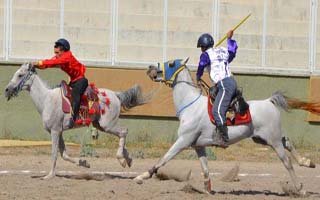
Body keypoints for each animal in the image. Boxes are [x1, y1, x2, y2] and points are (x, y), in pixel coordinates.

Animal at [4, 63, 149, 180]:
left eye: (20, 75)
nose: (7, 90)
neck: (46, 99)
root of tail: (115, 95)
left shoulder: (55, 131)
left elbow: (54, 154)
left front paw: (49, 175)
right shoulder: (59, 131)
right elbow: (64, 154)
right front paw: (84, 163)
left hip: (108, 125)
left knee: (124, 131)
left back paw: (122, 159)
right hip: (100, 125)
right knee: (122, 134)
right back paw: (128, 159)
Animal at [134, 57, 318, 195]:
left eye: (171, 63)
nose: (150, 68)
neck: (190, 105)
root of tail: (268, 101)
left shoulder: (183, 141)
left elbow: (164, 158)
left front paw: (142, 176)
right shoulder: (198, 145)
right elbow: (205, 168)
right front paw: (207, 190)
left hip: (273, 141)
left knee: (287, 162)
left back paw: (300, 189)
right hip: (264, 139)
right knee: (288, 142)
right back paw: (307, 162)